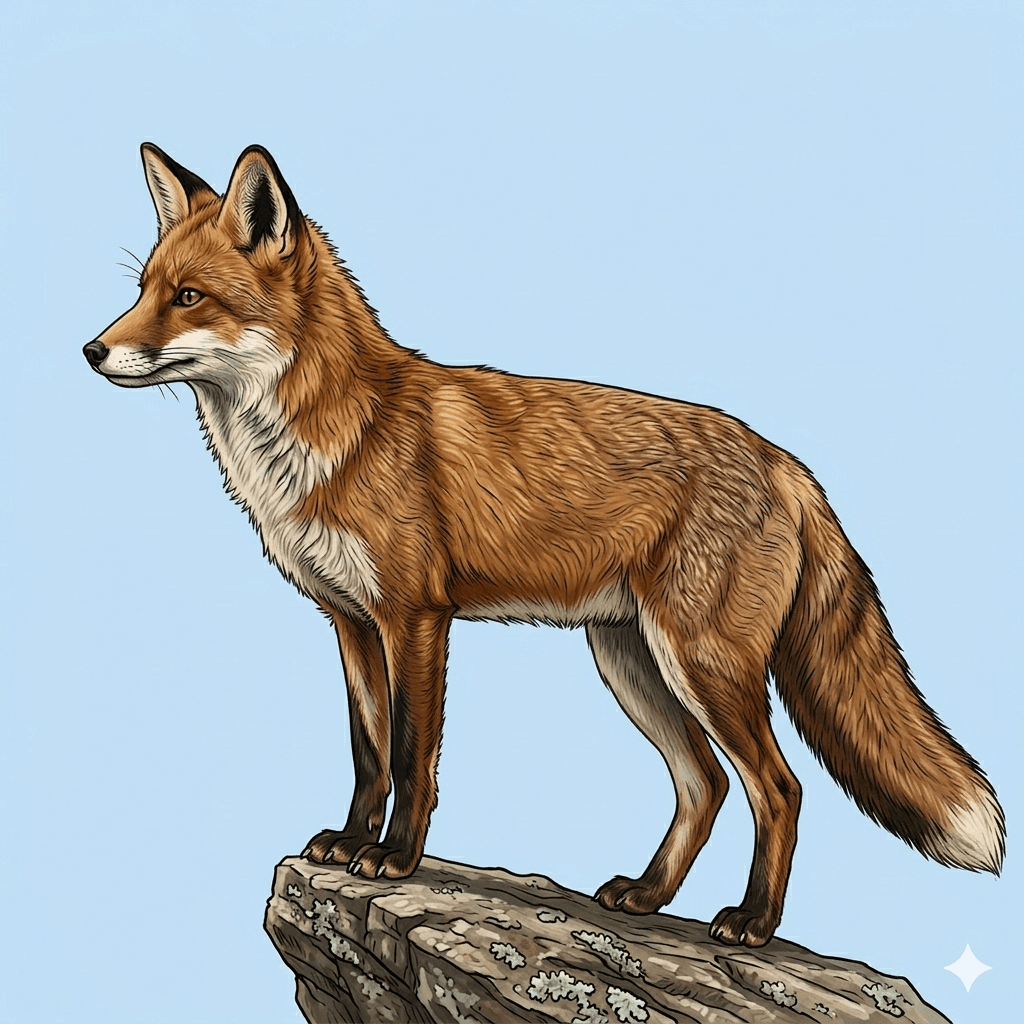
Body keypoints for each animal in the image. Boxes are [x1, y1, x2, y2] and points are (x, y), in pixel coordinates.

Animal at [84, 143, 1004, 947]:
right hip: (631, 661)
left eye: (190, 297)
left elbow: (413, 755)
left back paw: (752, 923)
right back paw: (648, 895)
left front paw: (394, 858)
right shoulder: (347, 618)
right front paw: (350, 843)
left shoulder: (417, 617)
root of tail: (784, 460)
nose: (93, 349)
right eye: (143, 289)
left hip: (704, 664)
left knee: (778, 789)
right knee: (704, 785)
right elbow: (368, 754)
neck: (332, 436)